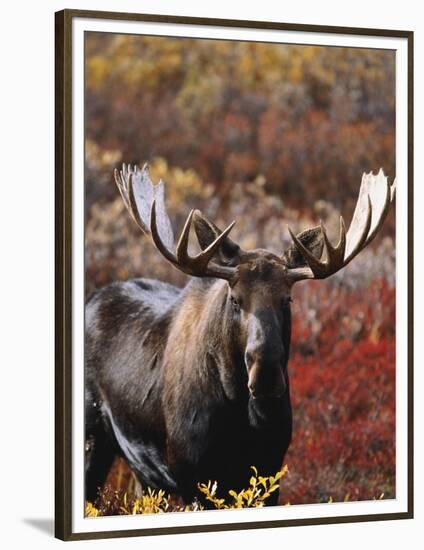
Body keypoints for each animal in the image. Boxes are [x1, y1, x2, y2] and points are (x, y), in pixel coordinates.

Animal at [84, 165, 396, 508]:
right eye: (235, 299)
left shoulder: (270, 471)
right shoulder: (192, 476)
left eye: (287, 299)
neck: (239, 415)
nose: (266, 374)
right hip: (93, 438)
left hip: (145, 475)